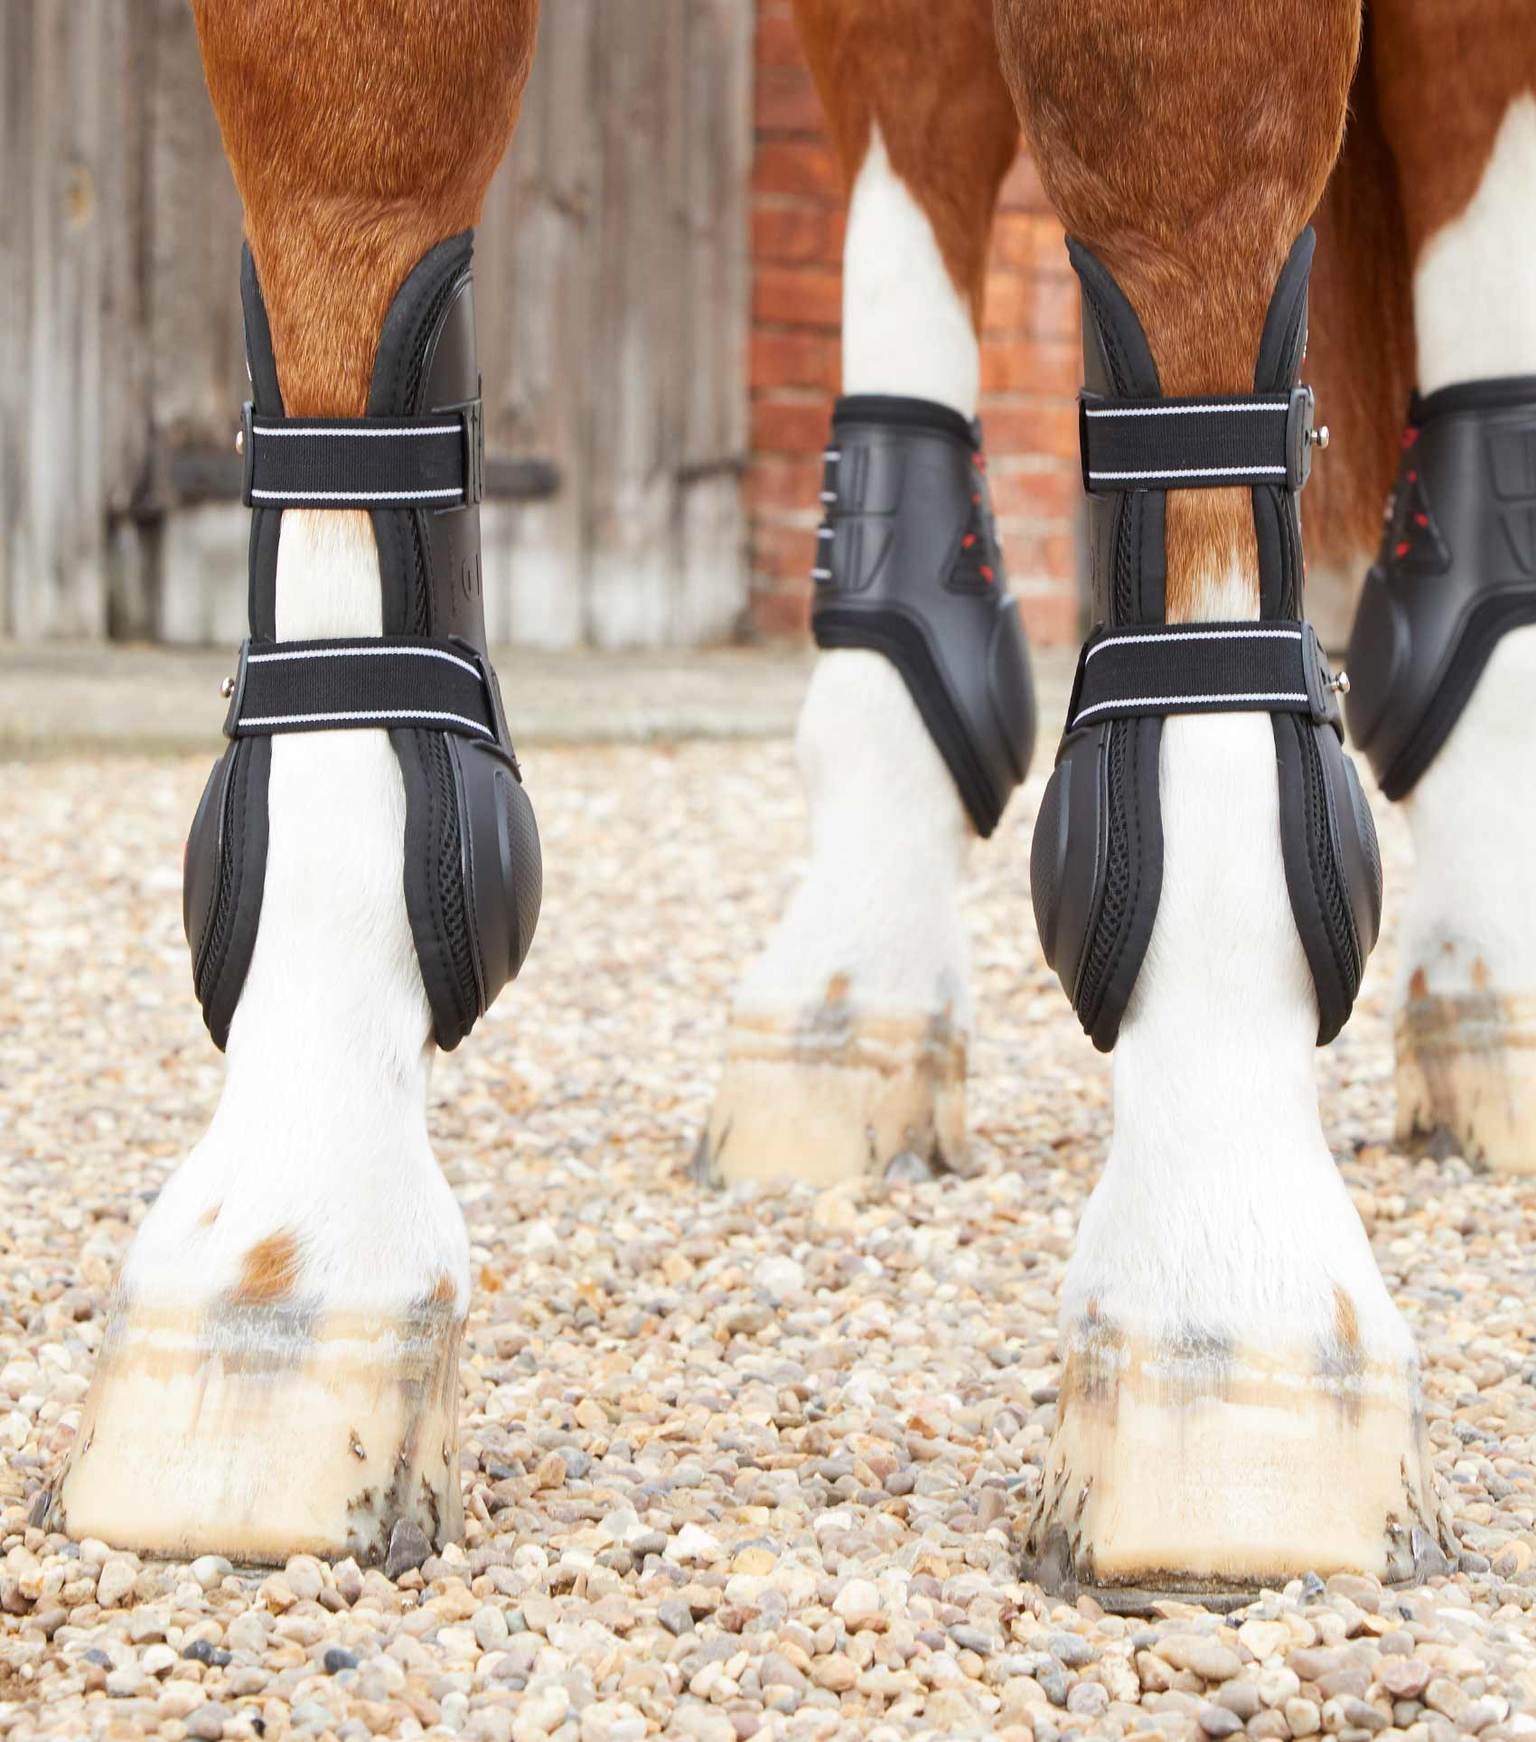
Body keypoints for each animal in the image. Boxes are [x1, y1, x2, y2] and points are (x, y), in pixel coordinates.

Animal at [51, 0, 1535, 1608]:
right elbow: (348, 214)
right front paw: (278, 1259)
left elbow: (1181, 225)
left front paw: (1229, 1297)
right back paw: (853, 993)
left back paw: (1491, 991)